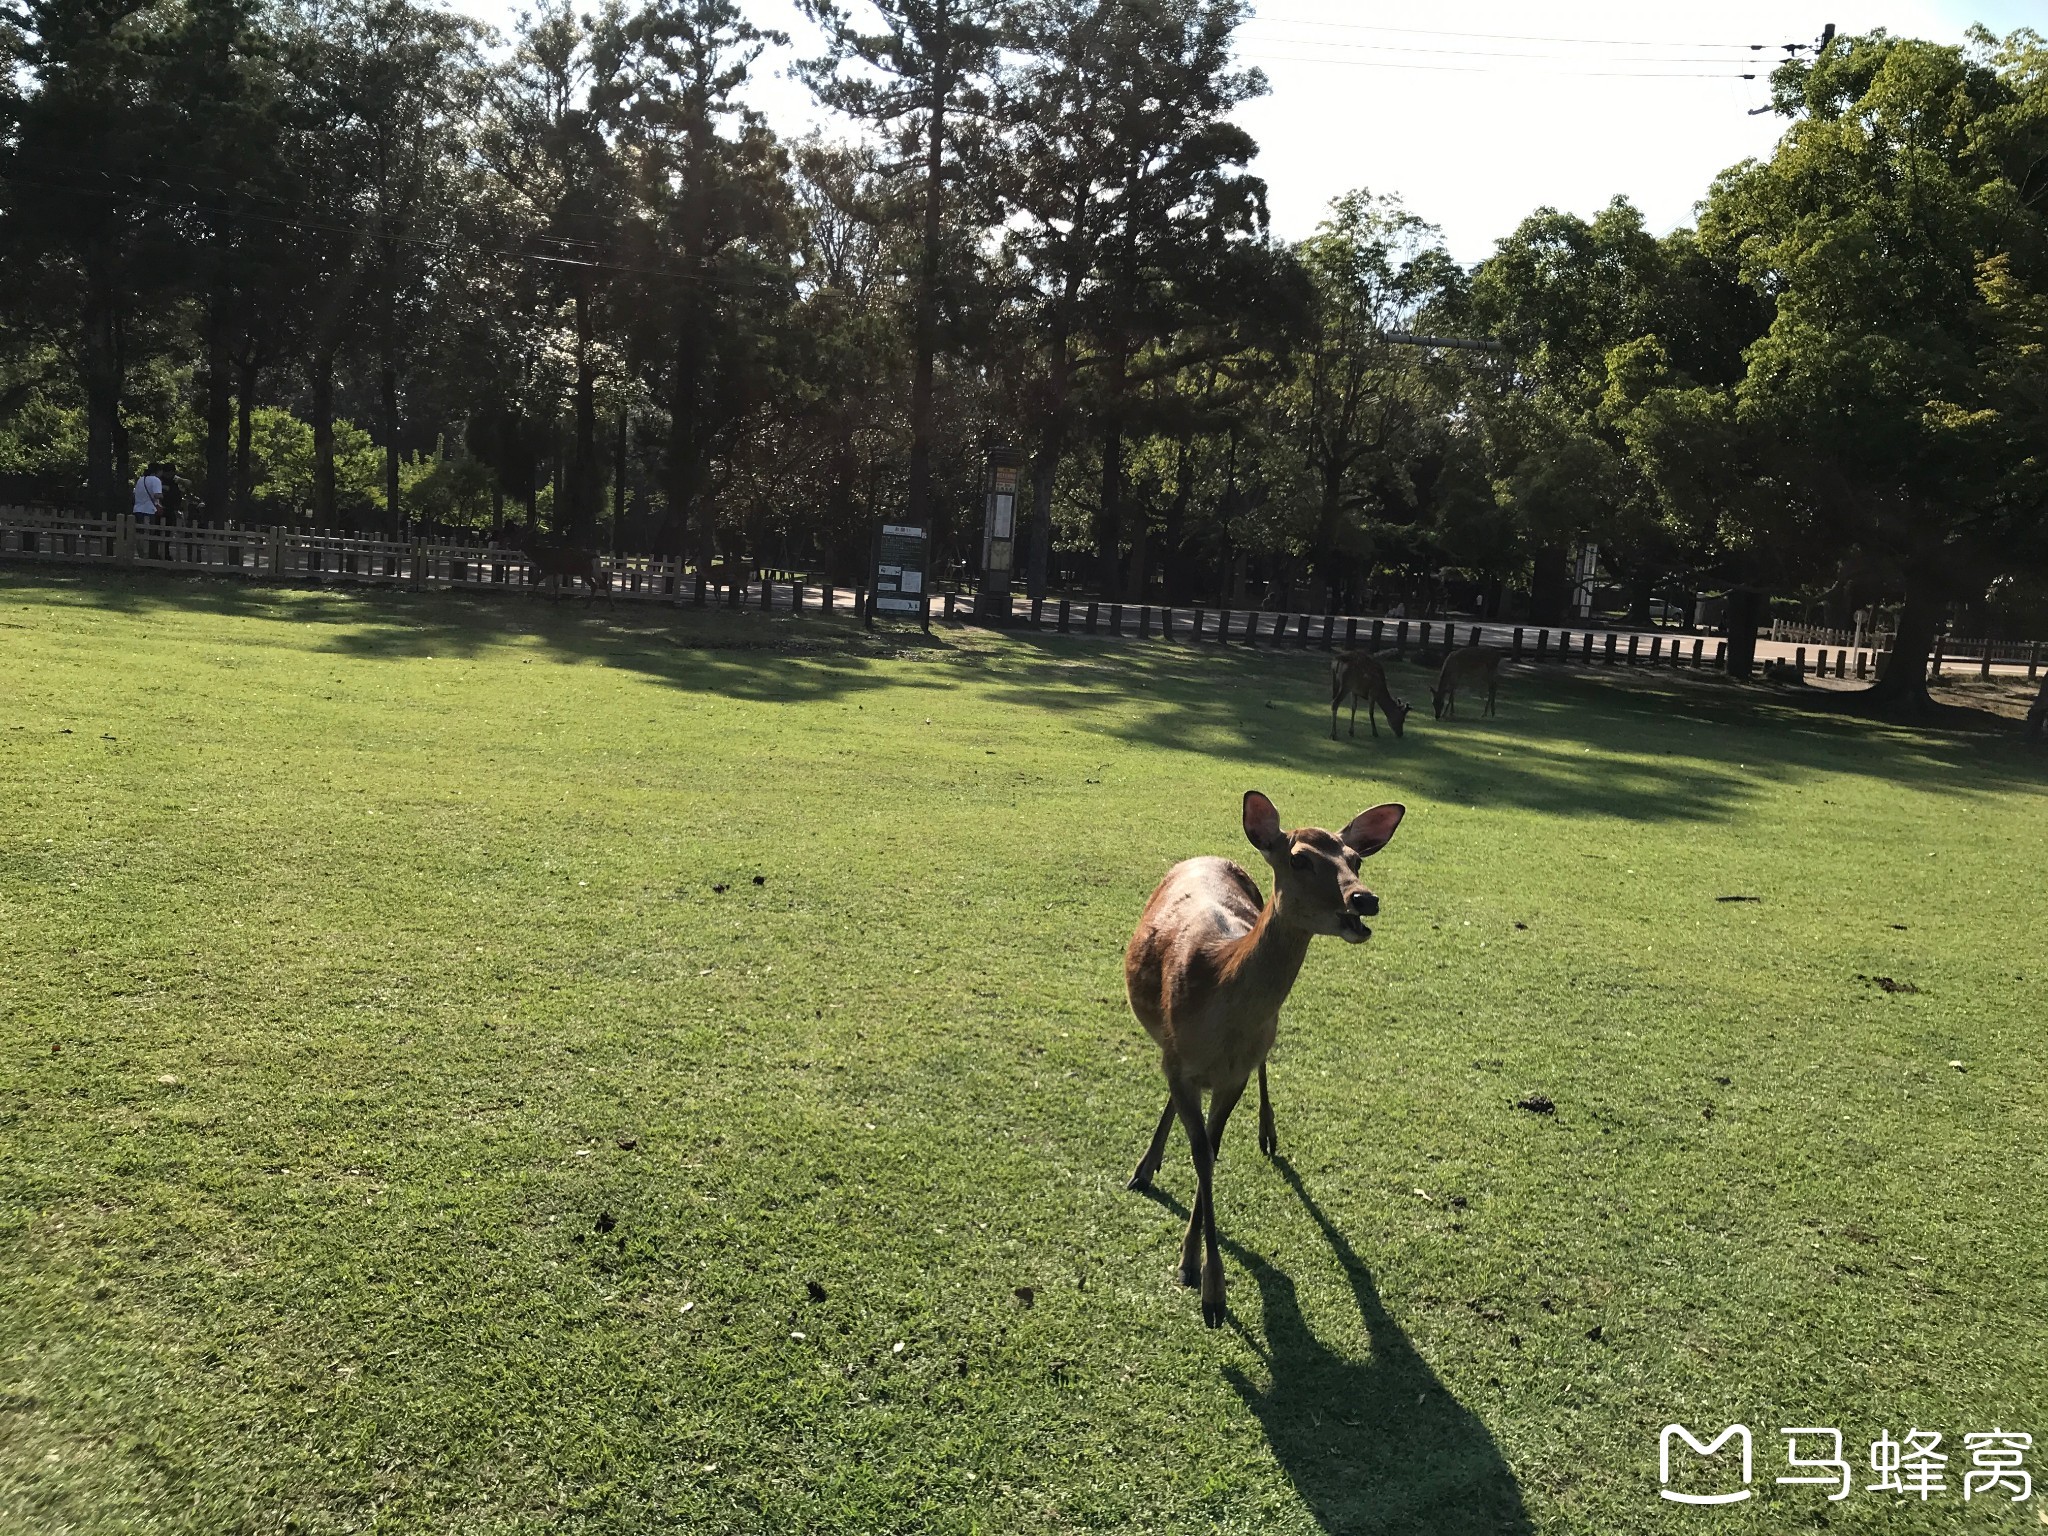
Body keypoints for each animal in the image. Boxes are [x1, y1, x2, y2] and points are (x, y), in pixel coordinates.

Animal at [1122, 794, 1409, 1327]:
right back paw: (1144, 1168)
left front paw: (1197, 1271)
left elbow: (1210, 1152)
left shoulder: (1233, 1073)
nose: (1364, 899)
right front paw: (1206, 1286)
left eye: (1355, 861)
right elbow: (1202, 1154)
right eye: (1299, 859)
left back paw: (1267, 1133)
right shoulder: (1181, 1061)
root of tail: (1209, 855)